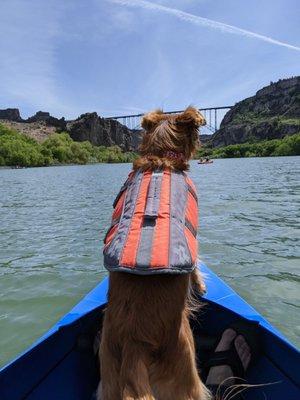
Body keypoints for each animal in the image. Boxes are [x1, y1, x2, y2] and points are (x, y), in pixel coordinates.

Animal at [99, 107, 211, 400]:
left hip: (109, 376)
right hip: (187, 377)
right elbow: (196, 264)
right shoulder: (192, 238)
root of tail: (135, 342)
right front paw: (200, 285)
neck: (162, 157)